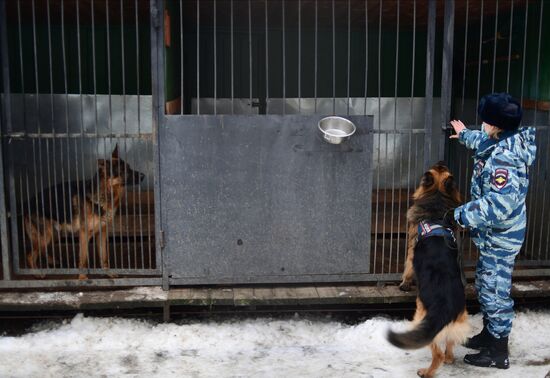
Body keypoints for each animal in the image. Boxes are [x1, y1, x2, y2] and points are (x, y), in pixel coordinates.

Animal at [22, 146, 146, 280]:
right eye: (124, 170)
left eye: (129, 167)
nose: (143, 176)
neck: (104, 193)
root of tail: (27, 203)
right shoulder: (84, 234)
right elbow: (83, 258)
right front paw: (82, 277)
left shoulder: (102, 233)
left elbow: (104, 256)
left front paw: (109, 273)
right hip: (46, 235)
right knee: (30, 255)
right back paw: (36, 273)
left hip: (54, 233)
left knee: (43, 249)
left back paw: (52, 261)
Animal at [388, 162, 470, 378]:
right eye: (441, 166)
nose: (441, 160)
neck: (437, 196)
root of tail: (447, 307)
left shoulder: (410, 250)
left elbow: (407, 269)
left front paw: (404, 284)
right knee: (449, 346)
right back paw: (450, 358)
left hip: (422, 319)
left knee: (437, 353)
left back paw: (427, 371)